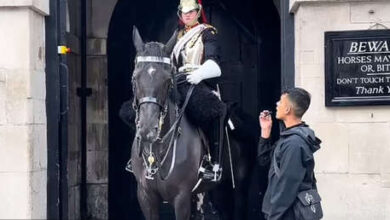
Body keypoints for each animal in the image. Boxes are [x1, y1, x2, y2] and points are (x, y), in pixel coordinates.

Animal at [129, 26, 258, 219]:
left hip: (241, 185)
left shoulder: (181, 198)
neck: (158, 149)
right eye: (134, 78)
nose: (147, 131)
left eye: (168, 80)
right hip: (221, 187)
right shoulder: (146, 197)